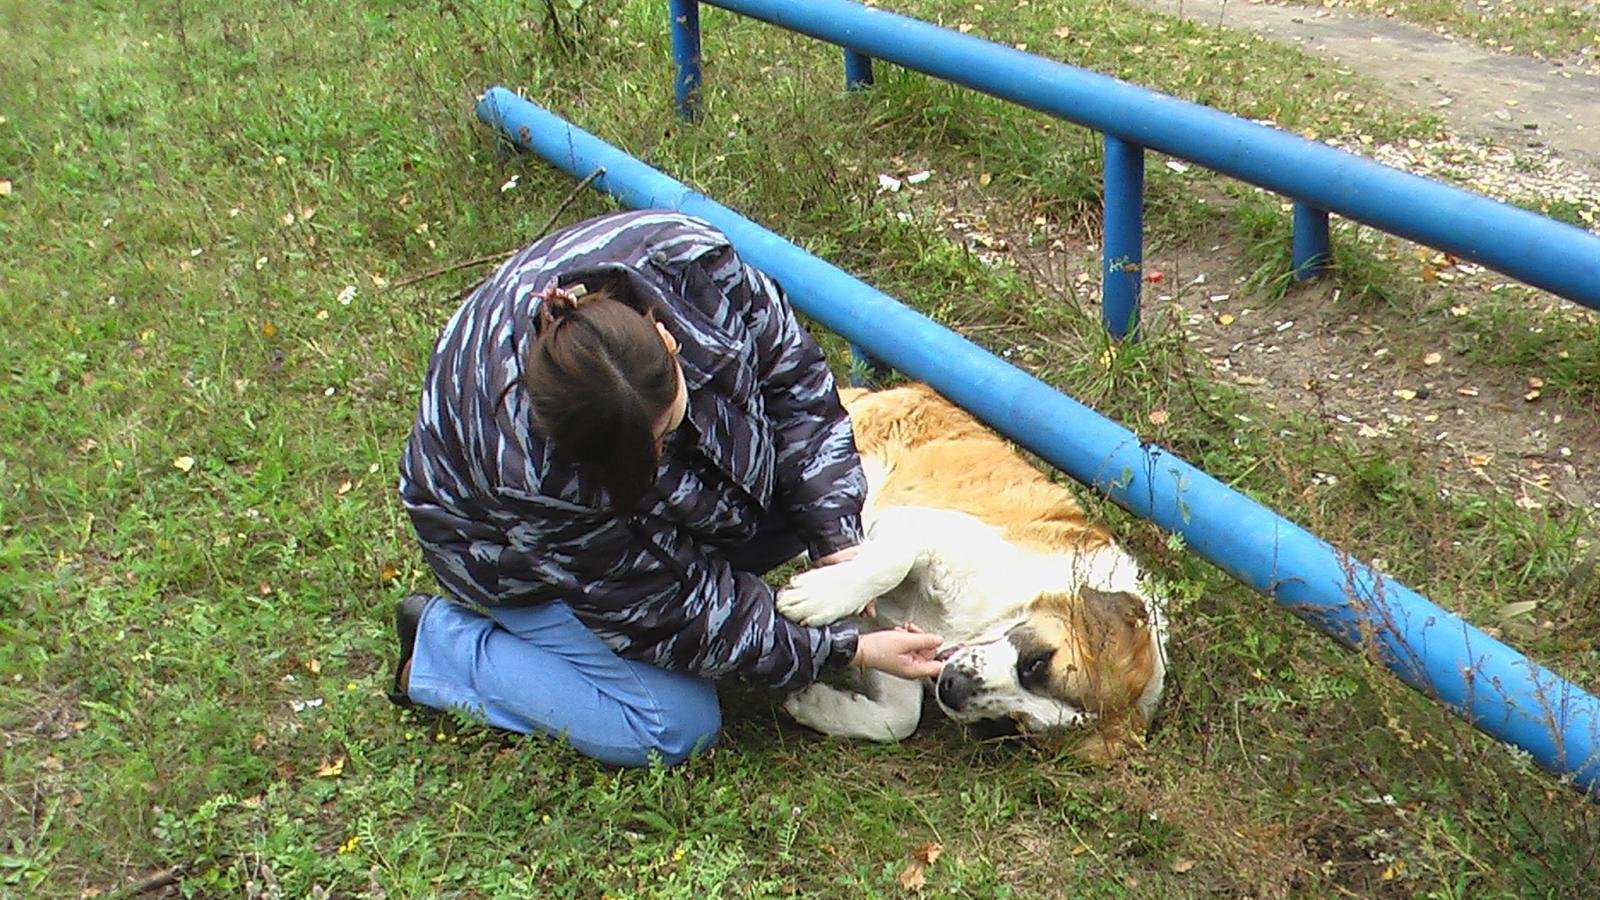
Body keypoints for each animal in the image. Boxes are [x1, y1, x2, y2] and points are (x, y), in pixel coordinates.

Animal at [776, 383, 1168, 761]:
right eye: (1038, 663)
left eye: (1017, 723)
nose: (952, 689)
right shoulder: (919, 527)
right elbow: (891, 562)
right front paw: (817, 598)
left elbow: (900, 717)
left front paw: (816, 705)